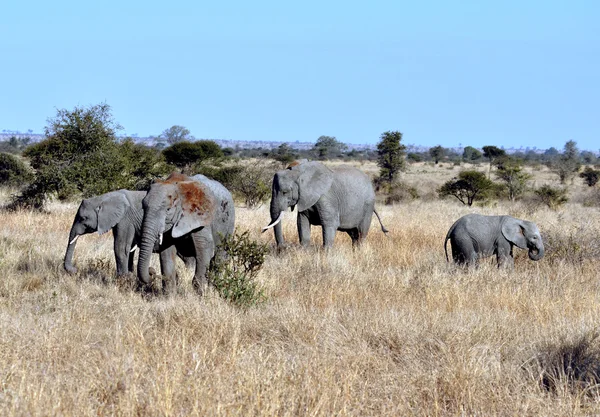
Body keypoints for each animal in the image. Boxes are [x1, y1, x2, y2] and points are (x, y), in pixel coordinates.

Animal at [64, 190, 193, 278]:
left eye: (83, 218)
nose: (75, 270)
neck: (104, 198)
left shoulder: (125, 219)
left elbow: (121, 248)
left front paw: (123, 278)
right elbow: (129, 248)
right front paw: (130, 275)